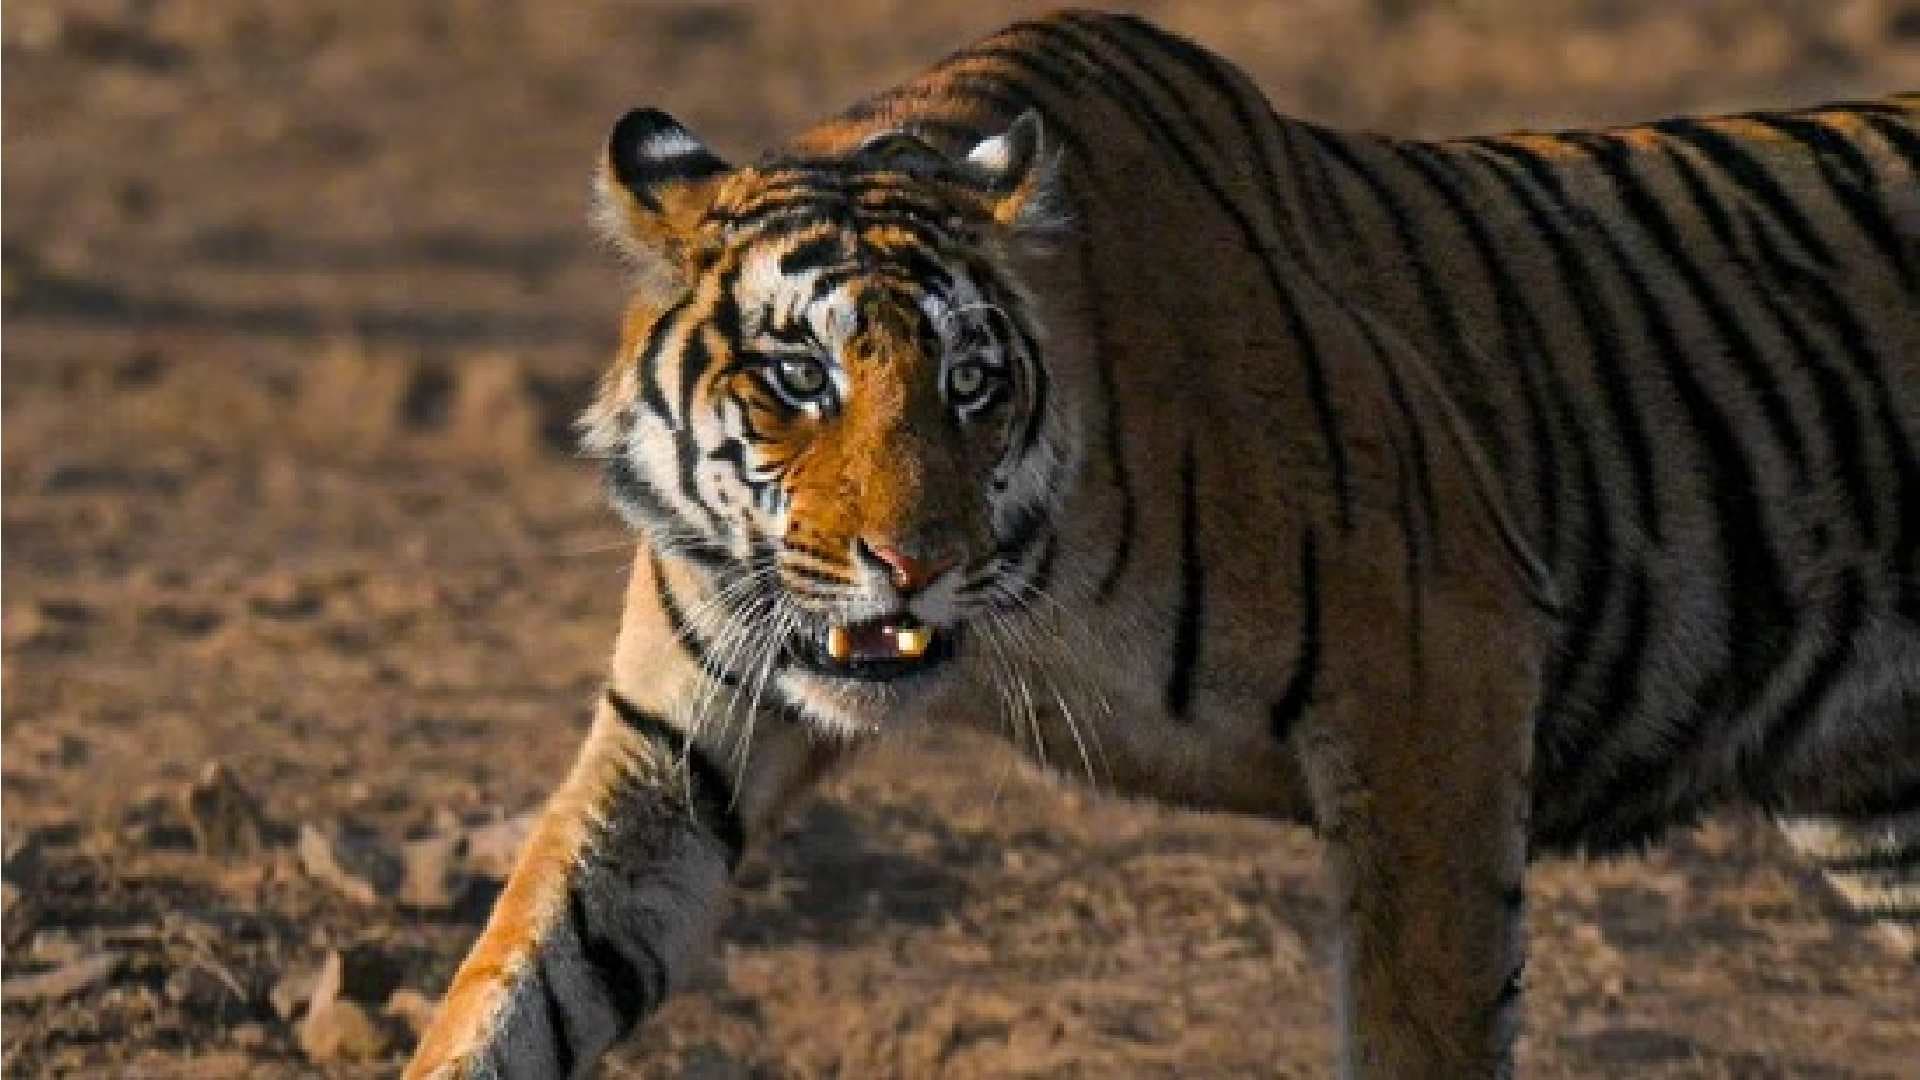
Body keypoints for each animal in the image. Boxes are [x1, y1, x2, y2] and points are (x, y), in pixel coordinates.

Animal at [406, 9, 1920, 1079]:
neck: (1021, 604)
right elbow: (521, 975)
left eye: (971, 383)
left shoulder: (1443, 672)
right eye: (798, 379)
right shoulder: (673, 744)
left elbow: (1422, 1016)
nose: (912, 561)